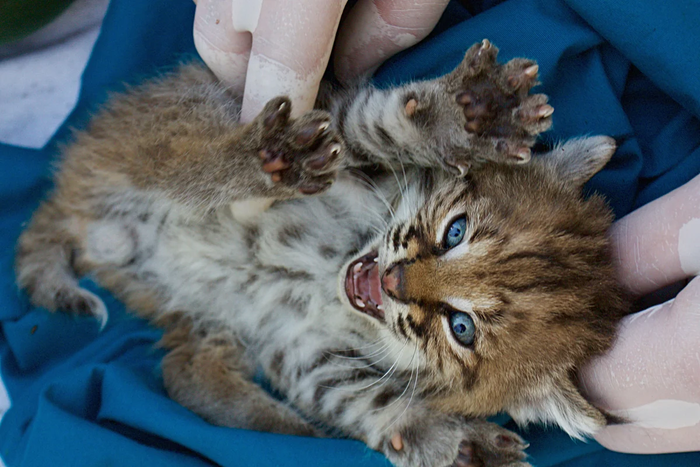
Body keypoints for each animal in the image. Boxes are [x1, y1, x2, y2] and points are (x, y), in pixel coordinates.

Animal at [16, 41, 628, 467]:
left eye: (462, 329)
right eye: (455, 233)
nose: (395, 281)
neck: (332, 274)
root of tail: (73, 192)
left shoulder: (307, 350)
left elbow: (366, 399)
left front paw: (448, 439)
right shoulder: (339, 129)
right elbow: (380, 121)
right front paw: (467, 114)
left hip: (205, 321)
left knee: (180, 369)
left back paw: (269, 422)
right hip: (174, 115)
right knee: (189, 164)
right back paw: (260, 156)